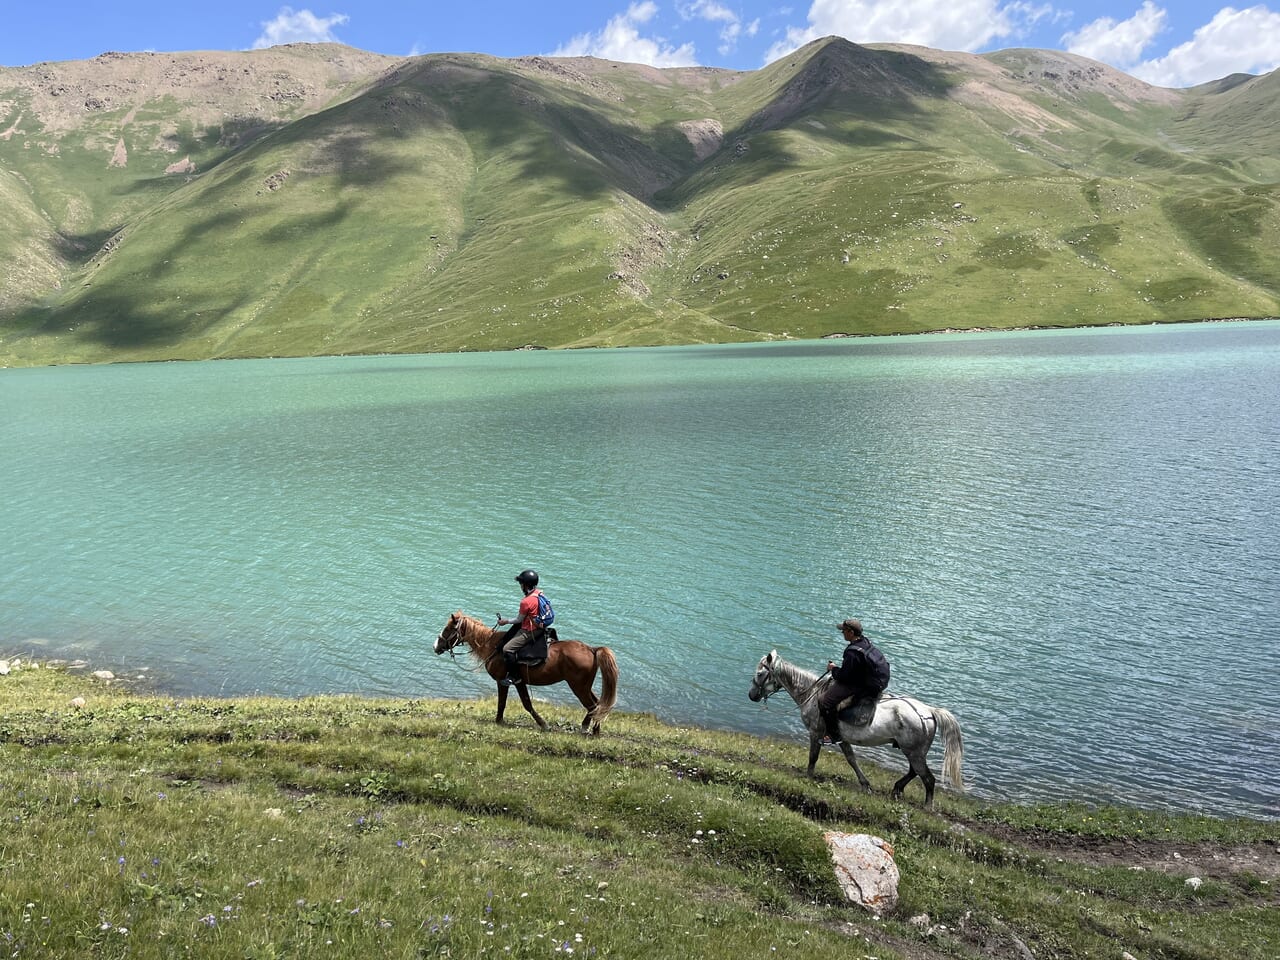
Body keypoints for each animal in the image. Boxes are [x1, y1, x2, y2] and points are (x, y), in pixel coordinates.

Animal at [435, 616, 619, 737]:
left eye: (448, 629)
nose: (436, 646)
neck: (493, 645)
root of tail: (592, 649)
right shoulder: (519, 681)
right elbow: (526, 703)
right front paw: (542, 724)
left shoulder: (503, 681)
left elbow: (504, 702)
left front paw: (499, 721)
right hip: (585, 686)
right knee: (598, 704)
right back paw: (594, 729)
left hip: (578, 686)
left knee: (593, 706)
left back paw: (589, 729)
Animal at [747, 655, 962, 803]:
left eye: (760, 673)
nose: (751, 695)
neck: (812, 693)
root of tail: (929, 712)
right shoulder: (842, 738)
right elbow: (851, 759)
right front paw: (865, 784)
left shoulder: (815, 733)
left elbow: (813, 757)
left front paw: (808, 777)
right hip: (913, 751)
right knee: (914, 773)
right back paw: (897, 789)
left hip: (914, 752)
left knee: (927, 779)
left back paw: (927, 806)